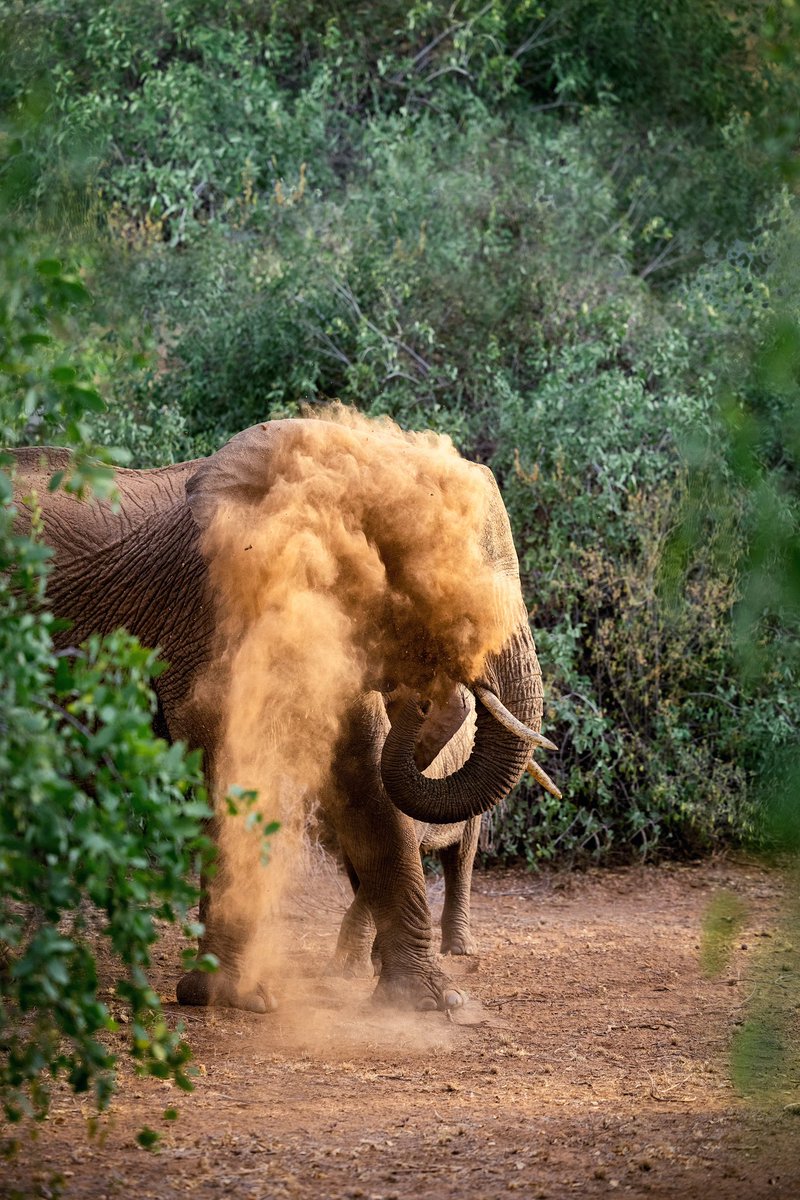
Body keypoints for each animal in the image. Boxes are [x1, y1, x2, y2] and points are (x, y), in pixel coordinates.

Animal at [11, 414, 558, 1014]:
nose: (428, 694)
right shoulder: (216, 613)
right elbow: (236, 761)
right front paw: (231, 997)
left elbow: (364, 777)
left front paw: (433, 1003)